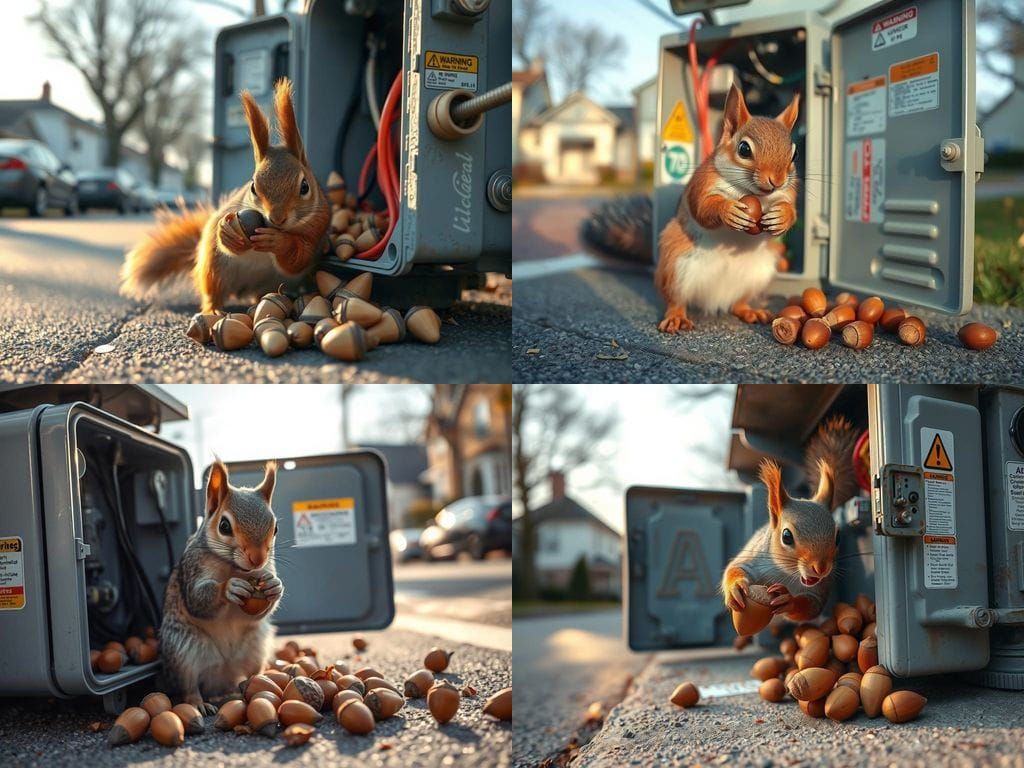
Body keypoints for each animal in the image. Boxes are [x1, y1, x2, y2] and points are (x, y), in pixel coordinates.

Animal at [119, 78, 330, 313]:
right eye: (253, 186)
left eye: (304, 186)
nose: (276, 218)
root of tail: (243, 289)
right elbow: (228, 241)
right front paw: (228, 230)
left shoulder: (317, 231)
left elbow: (297, 258)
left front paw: (278, 242)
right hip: (213, 267)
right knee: (212, 292)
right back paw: (213, 309)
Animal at [159, 459, 283, 713]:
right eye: (224, 526)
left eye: (275, 528)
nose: (257, 559)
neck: (233, 567)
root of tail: (223, 677)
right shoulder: (192, 569)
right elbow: (197, 601)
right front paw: (229, 588)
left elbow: (259, 610)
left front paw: (275, 586)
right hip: (183, 649)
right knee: (189, 685)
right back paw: (199, 704)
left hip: (256, 645)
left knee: (252, 672)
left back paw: (260, 682)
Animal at [655, 84, 800, 333]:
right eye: (744, 149)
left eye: (795, 154)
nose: (777, 181)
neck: (753, 194)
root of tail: (715, 297)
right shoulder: (702, 184)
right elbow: (702, 208)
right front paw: (728, 210)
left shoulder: (788, 193)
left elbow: (793, 210)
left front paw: (782, 216)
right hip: (674, 265)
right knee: (675, 299)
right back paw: (676, 316)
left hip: (759, 274)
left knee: (738, 303)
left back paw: (750, 311)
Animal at [722, 416, 858, 623]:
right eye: (786, 536)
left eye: (838, 538)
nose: (821, 568)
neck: (787, 573)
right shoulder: (755, 557)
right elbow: (735, 567)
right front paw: (735, 587)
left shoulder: (820, 589)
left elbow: (811, 607)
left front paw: (789, 600)